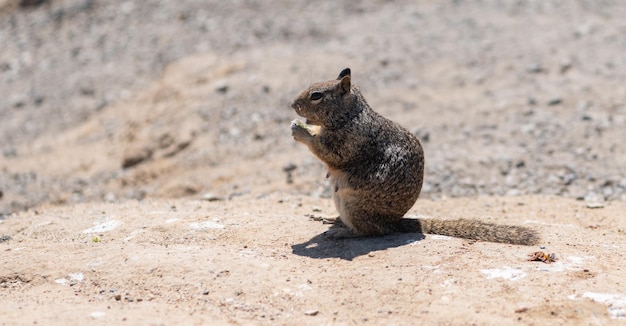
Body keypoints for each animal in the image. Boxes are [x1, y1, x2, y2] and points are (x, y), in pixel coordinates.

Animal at [288, 67, 536, 244]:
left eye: (316, 95)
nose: (292, 105)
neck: (349, 115)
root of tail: (395, 224)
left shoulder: (349, 141)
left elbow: (329, 154)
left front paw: (300, 131)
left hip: (353, 206)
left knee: (371, 231)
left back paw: (342, 232)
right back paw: (331, 219)